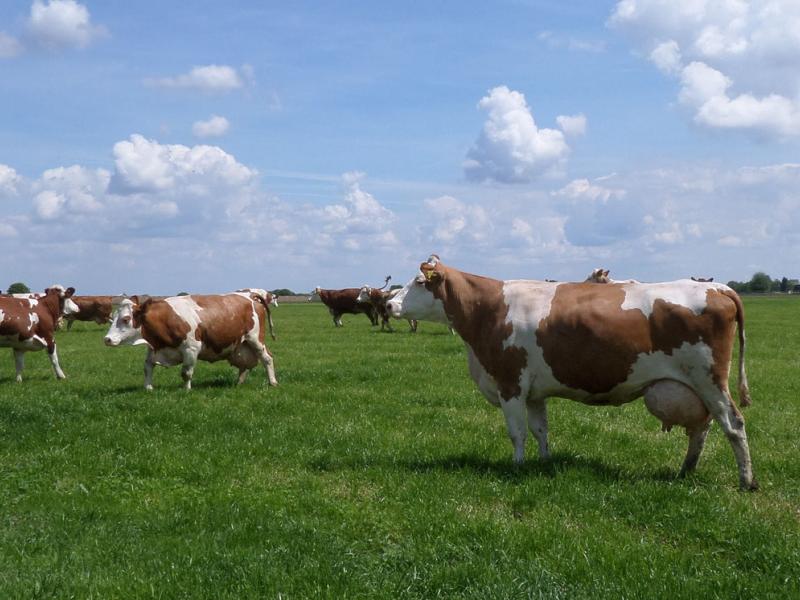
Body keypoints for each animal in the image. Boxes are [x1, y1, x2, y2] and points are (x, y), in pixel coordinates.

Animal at [103, 292, 278, 394]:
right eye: (113, 316)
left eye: (126, 319)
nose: (107, 339)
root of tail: (250, 295)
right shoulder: (154, 349)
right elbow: (147, 368)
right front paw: (148, 388)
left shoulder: (191, 348)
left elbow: (186, 372)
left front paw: (186, 390)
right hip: (240, 345)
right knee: (244, 365)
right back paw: (238, 383)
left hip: (255, 339)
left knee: (267, 358)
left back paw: (273, 382)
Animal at [390, 255, 760, 490]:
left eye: (419, 281)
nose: (390, 304)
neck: (489, 309)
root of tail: (719, 288)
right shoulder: (534, 392)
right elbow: (540, 430)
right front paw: (544, 463)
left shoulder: (511, 383)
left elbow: (517, 433)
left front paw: (516, 467)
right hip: (697, 387)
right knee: (702, 428)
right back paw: (685, 470)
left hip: (710, 380)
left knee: (733, 424)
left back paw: (746, 481)